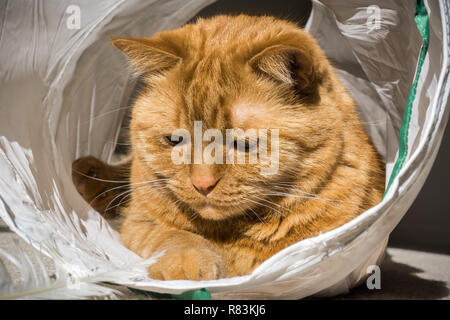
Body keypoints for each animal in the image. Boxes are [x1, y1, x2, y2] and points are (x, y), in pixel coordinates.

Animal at [72, 15, 384, 280]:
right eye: (175, 141)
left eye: (242, 144)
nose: (202, 185)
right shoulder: (140, 221)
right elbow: (173, 236)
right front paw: (187, 263)